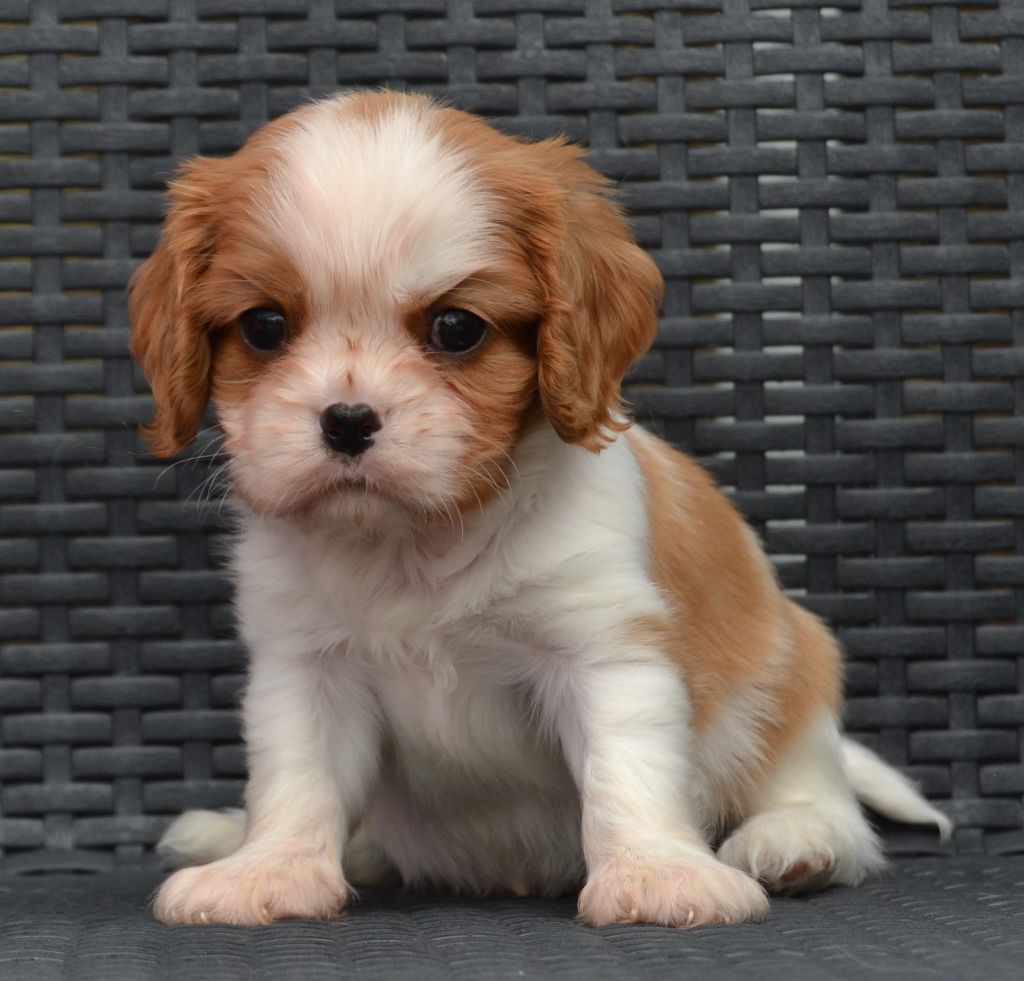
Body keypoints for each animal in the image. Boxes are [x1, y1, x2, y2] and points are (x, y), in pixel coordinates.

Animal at [130, 90, 950, 929]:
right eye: (264, 326)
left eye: (456, 327)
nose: (347, 419)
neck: (414, 542)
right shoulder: (303, 665)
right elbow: (297, 775)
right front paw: (266, 868)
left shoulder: (605, 649)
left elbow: (626, 767)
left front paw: (657, 873)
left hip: (796, 669)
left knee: (822, 797)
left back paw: (793, 841)